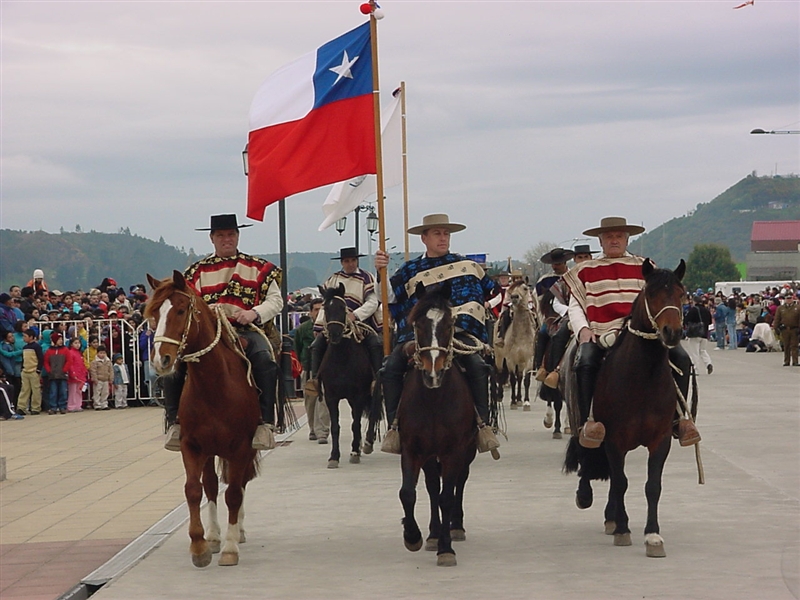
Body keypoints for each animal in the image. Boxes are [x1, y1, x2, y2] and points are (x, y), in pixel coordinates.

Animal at [142, 272, 258, 568]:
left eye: (181, 310)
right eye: (153, 314)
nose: (161, 360)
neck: (214, 387)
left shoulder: (241, 446)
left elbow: (234, 493)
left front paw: (230, 548)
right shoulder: (192, 445)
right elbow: (195, 490)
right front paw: (200, 546)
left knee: (239, 485)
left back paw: (237, 532)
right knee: (212, 485)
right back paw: (215, 536)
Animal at [316, 284, 378, 468]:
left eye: (342, 307)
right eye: (325, 308)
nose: (335, 334)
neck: (341, 359)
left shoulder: (358, 395)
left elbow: (355, 424)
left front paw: (354, 452)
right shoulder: (331, 397)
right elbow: (335, 427)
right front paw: (334, 456)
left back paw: (366, 445)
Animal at [396, 282, 476, 568]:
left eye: (449, 324)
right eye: (417, 324)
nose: (433, 372)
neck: (434, 400)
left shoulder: (455, 450)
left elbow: (447, 496)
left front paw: (446, 549)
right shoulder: (412, 448)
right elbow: (408, 492)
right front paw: (413, 536)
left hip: (467, 451)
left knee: (459, 483)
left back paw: (455, 527)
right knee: (431, 487)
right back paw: (432, 534)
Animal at [564, 260, 692, 560]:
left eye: (681, 293)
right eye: (652, 293)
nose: (672, 333)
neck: (642, 377)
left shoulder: (661, 440)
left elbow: (652, 486)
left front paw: (653, 536)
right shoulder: (614, 439)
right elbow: (621, 482)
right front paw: (623, 529)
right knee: (588, 455)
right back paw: (587, 498)